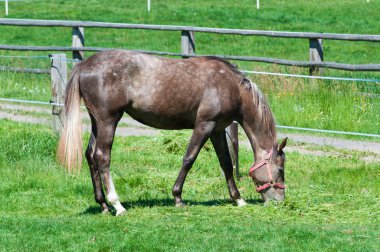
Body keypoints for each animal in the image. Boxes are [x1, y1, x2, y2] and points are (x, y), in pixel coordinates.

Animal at [57, 50, 288, 216]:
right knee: (102, 157)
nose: (280, 201)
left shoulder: (218, 130)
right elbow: (189, 159)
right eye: (279, 170)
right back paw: (117, 205)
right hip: (108, 121)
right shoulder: (204, 125)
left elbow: (226, 163)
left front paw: (238, 199)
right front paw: (177, 197)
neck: (232, 87)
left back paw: (103, 205)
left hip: (97, 122)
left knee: (90, 155)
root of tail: (84, 65)